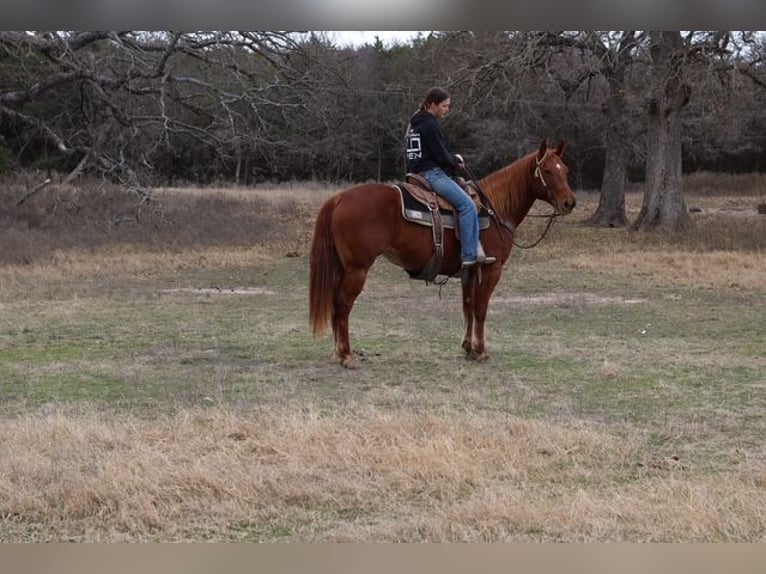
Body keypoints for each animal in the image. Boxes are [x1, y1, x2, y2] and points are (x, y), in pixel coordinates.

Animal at [309, 139, 576, 369]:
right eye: (547, 171)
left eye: (565, 170)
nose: (569, 203)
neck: (494, 210)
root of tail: (339, 198)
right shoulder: (492, 268)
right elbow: (481, 308)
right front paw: (481, 351)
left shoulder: (470, 271)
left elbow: (468, 306)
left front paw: (468, 348)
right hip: (357, 269)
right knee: (343, 305)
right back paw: (347, 355)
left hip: (342, 268)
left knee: (335, 305)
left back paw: (339, 351)